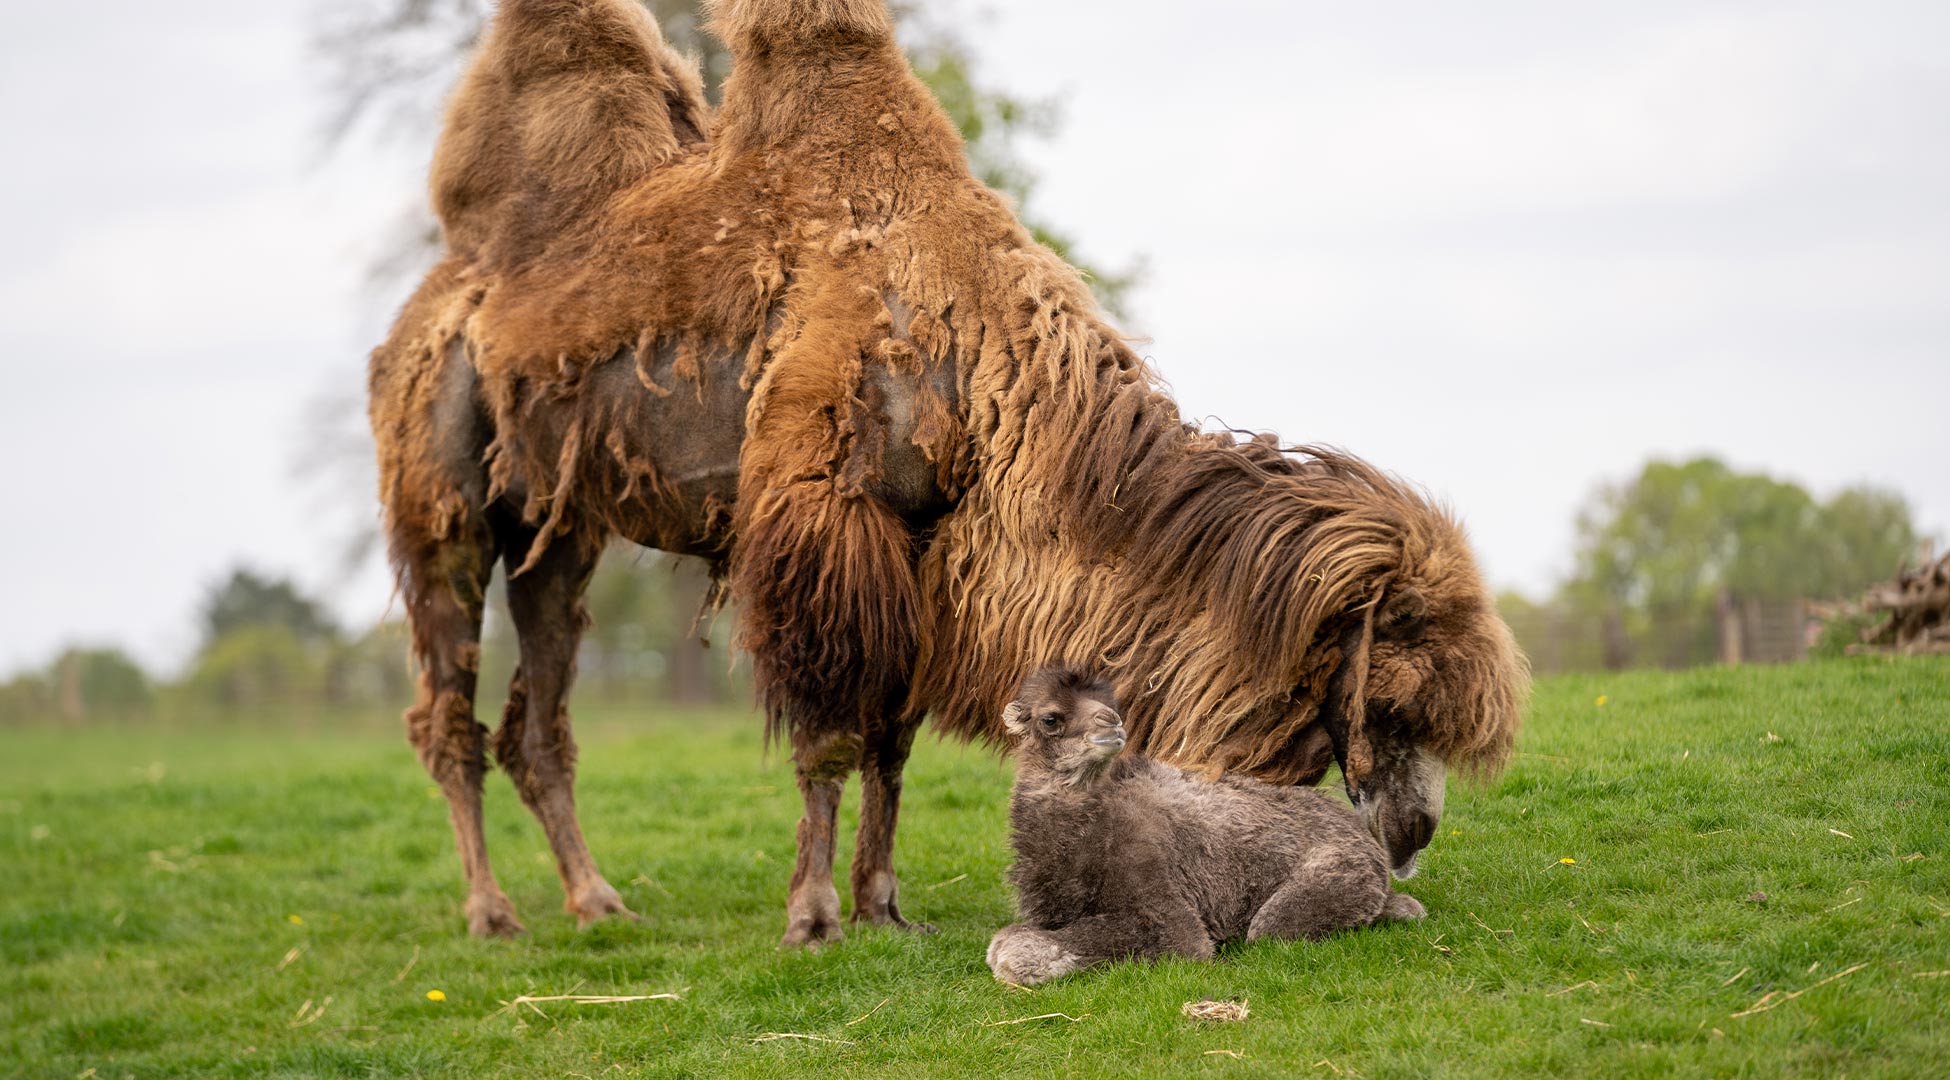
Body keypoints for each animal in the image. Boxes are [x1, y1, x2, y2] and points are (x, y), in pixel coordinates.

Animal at [367, 0, 1528, 943]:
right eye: (1399, 697)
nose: (1415, 833)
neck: (993, 372)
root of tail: (444, 288)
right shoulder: (824, 527)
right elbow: (830, 738)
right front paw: (813, 918)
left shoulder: (922, 547)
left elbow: (892, 741)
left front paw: (886, 907)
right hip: (444, 505)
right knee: (446, 711)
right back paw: (494, 913)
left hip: (558, 531)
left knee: (539, 720)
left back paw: (597, 902)